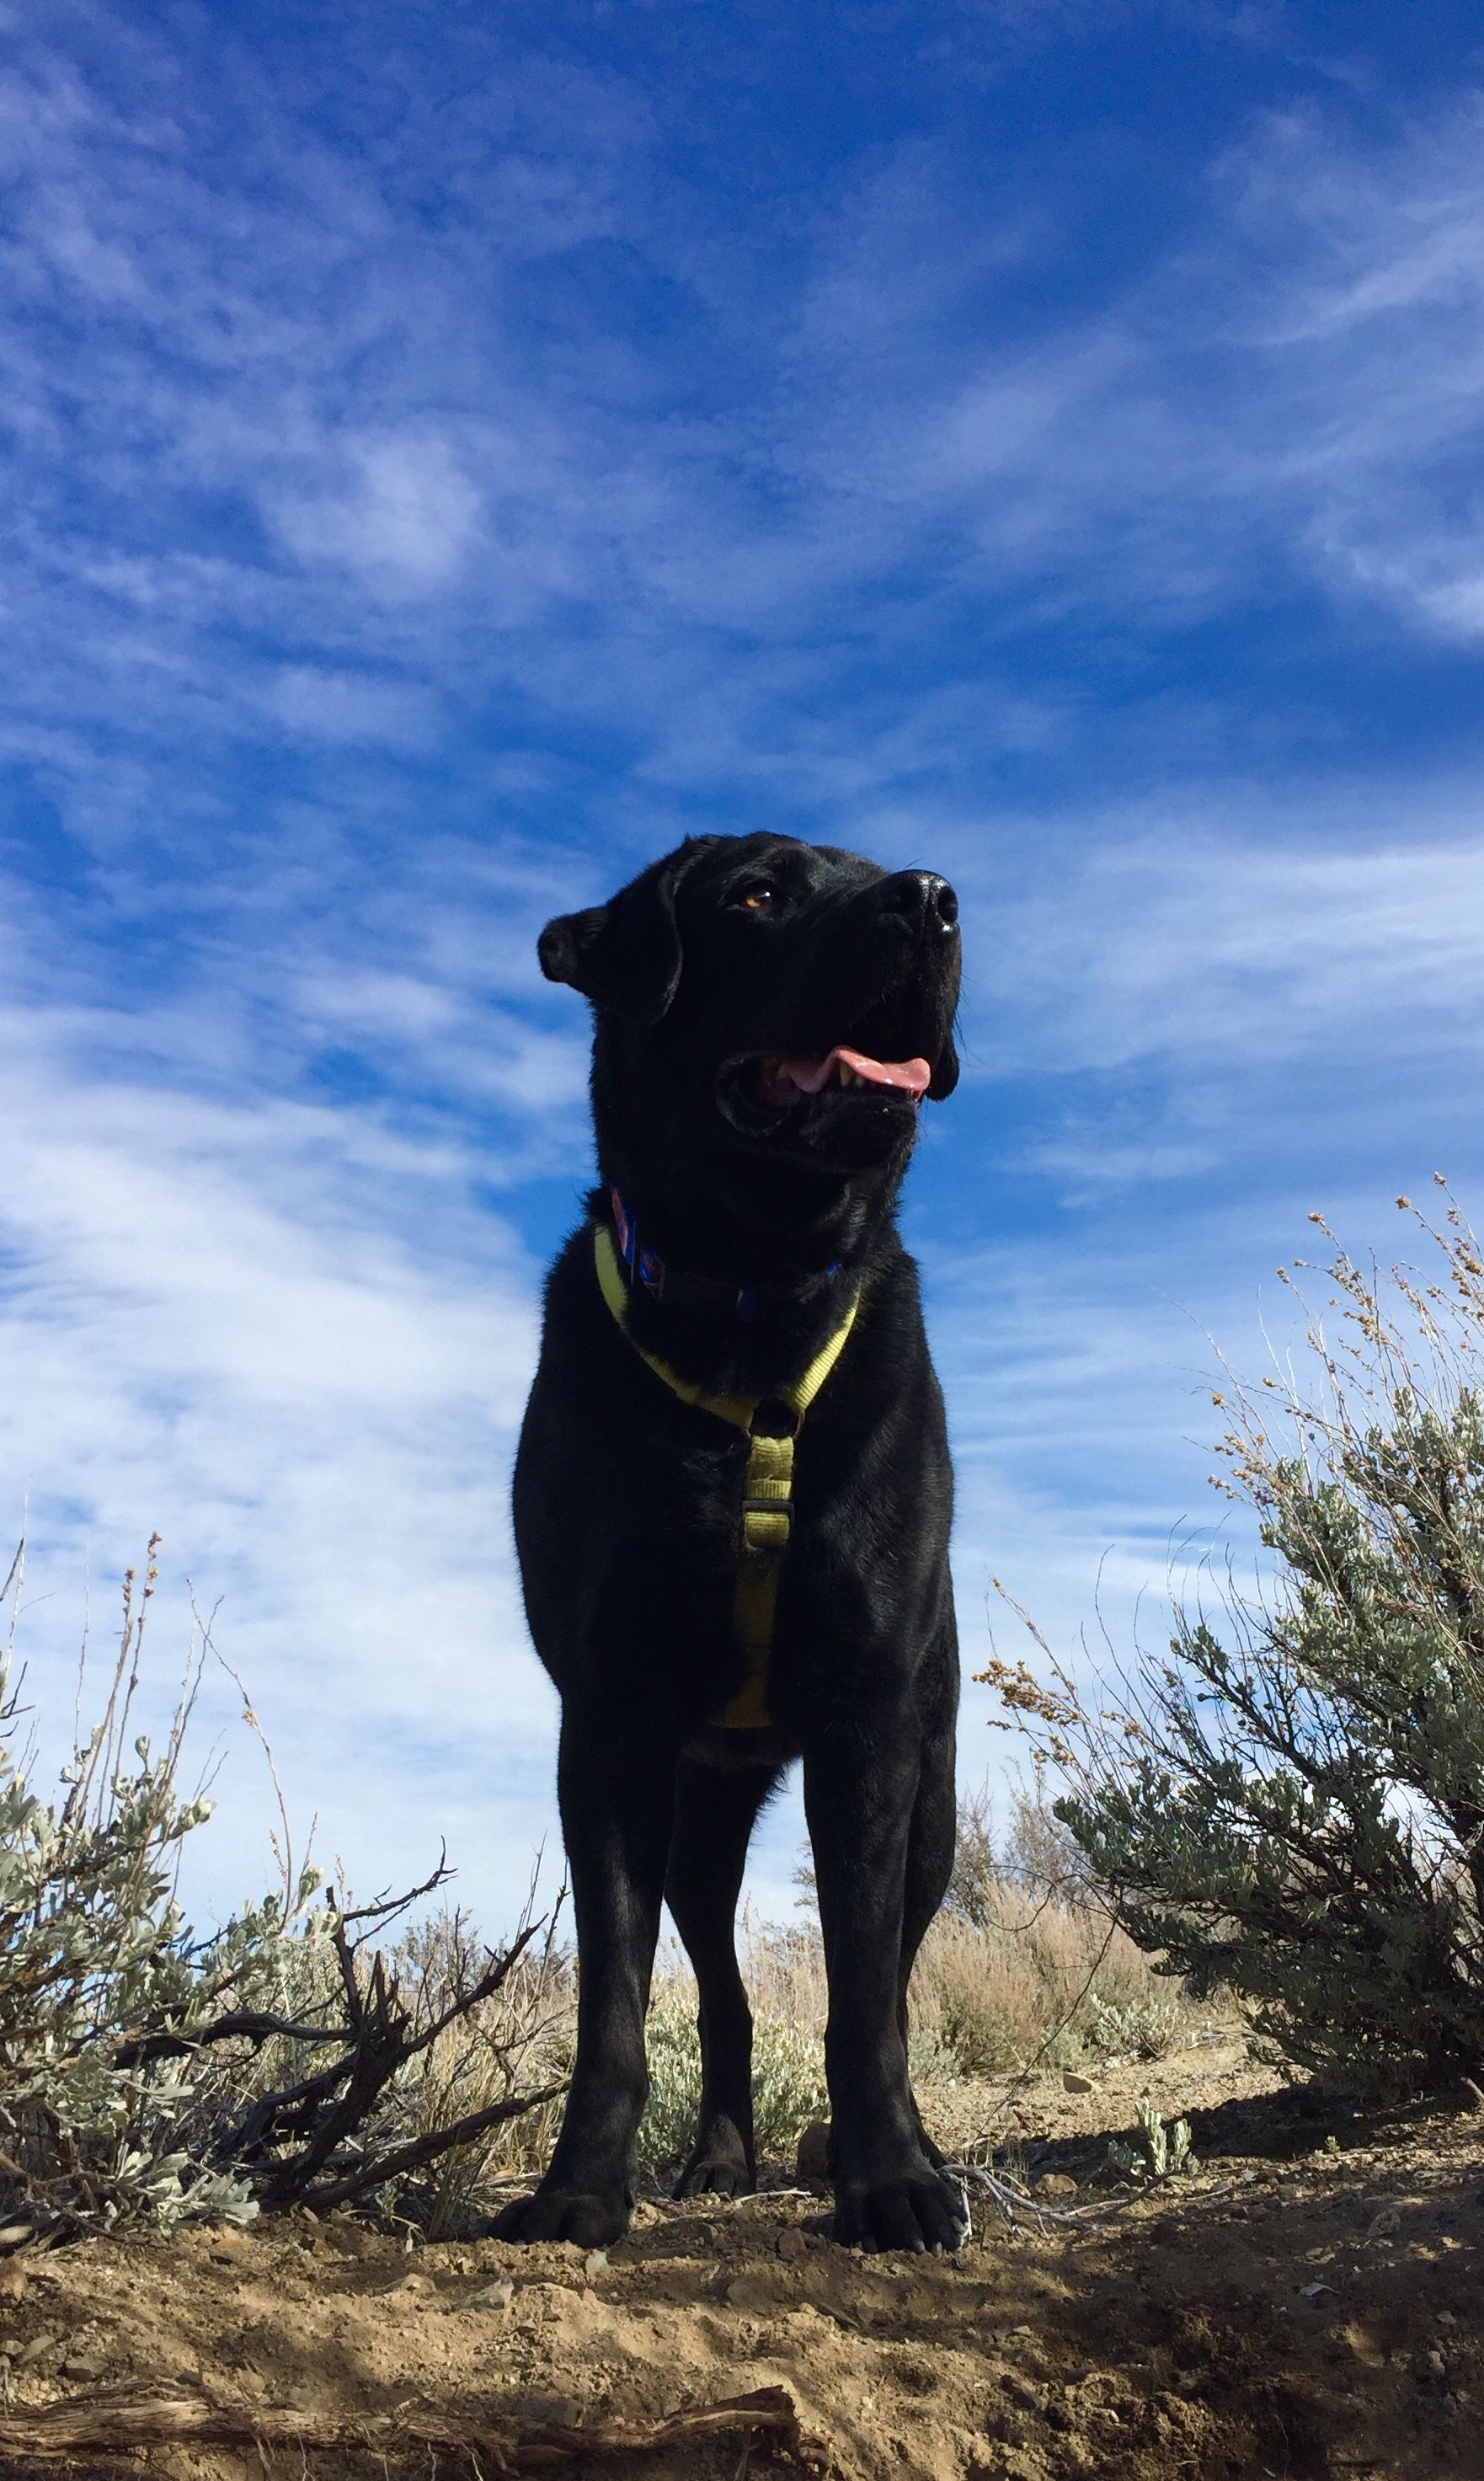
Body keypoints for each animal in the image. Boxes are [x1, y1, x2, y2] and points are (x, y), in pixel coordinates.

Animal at [501, 833, 968, 2253]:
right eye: (755, 893)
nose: (933, 899)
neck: (750, 1308)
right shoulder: (606, 1726)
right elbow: (611, 2002)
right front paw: (577, 2190)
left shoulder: (869, 1724)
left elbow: (863, 1994)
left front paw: (890, 2179)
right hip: (698, 1824)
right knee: (717, 1985)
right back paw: (715, 2156)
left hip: (930, 1800)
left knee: (889, 1974)